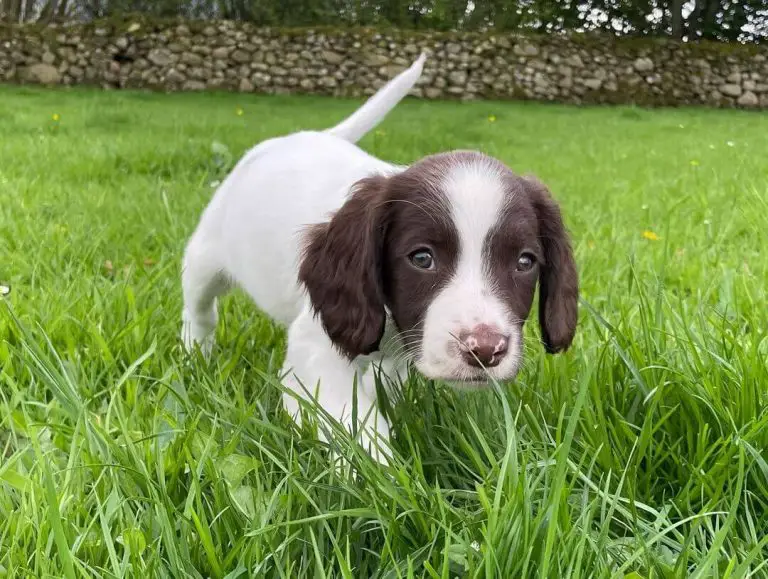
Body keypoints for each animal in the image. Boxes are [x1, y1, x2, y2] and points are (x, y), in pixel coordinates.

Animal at [180, 54, 576, 462]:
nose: (486, 351)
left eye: (525, 262)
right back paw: (196, 354)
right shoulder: (315, 350)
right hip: (205, 258)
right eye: (422, 258)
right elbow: (355, 426)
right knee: (200, 310)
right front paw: (382, 471)